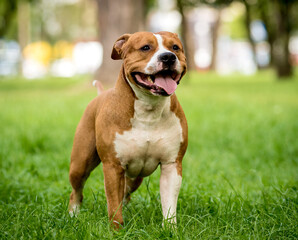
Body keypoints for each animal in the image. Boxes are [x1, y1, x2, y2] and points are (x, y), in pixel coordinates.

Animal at [68, 31, 187, 228]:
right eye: (145, 47)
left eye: (175, 47)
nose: (169, 57)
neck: (149, 108)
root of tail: (101, 94)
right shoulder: (113, 166)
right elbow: (113, 205)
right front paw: (117, 230)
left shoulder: (171, 165)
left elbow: (169, 205)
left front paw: (170, 229)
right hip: (80, 163)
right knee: (76, 191)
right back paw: (73, 215)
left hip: (135, 177)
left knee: (126, 192)